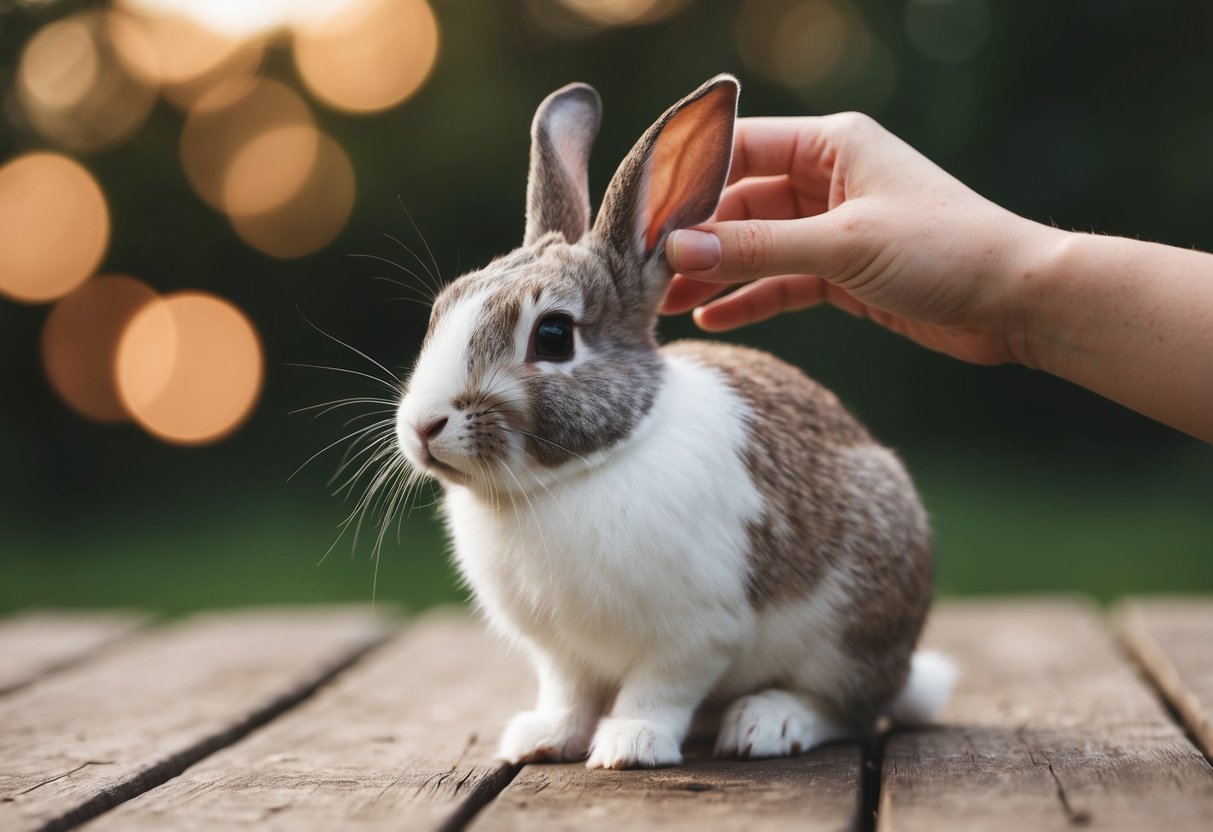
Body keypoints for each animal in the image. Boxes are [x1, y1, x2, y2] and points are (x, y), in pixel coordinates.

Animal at [394, 74, 955, 770]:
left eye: (552, 336)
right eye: (444, 307)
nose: (423, 425)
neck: (576, 474)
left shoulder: (695, 634)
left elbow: (657, 690)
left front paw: (630, 746)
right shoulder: (562, 655)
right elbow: (569, 694)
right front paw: (541, 739)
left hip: (852, 630)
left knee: (851, 708)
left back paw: (768, 723)